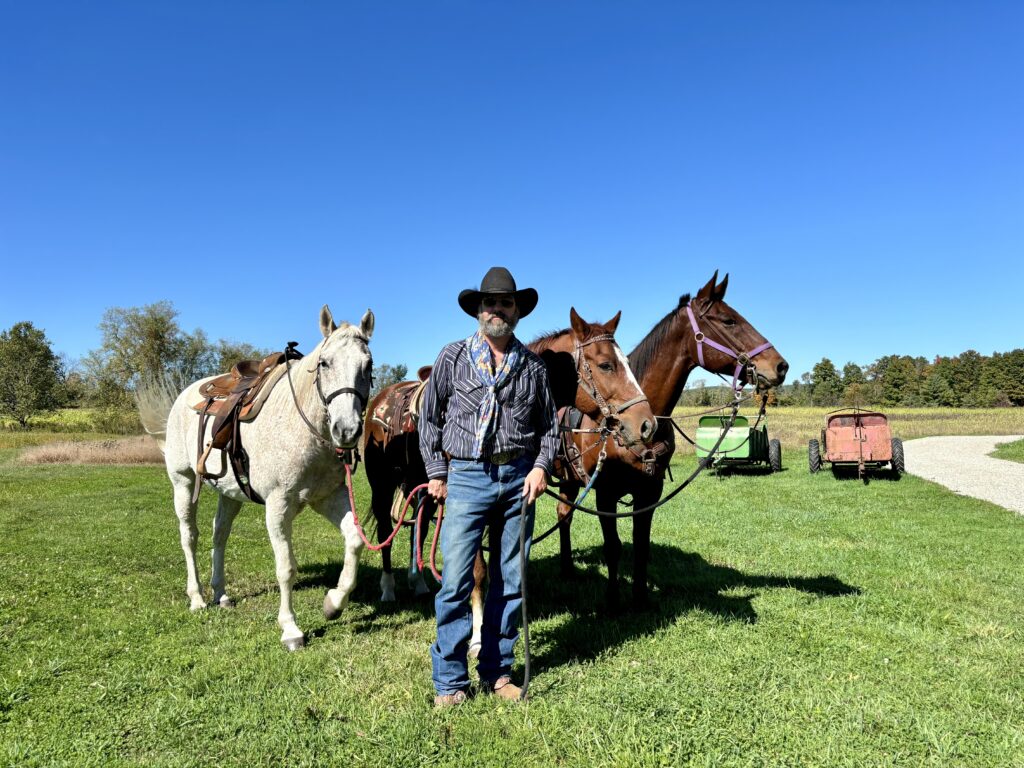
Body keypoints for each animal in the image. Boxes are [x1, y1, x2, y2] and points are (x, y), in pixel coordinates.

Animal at [138, 305, 374, 651]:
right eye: (324, 363)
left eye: (367, 365)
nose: (346, 430)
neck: (302, 426)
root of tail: (184, 397)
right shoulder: (278, 506)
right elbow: (286, 567)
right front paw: (290, 629)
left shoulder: (328, 497)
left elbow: (355, 539)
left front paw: (333, 603)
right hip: (182, 482)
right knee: (189, 537)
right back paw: (197, 597)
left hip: (229, 493)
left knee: (219, 535)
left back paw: (221, 593)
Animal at [552, 274, 790, 610]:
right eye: (729, 321)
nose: (780, 366)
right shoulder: (606, 494)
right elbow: (613, 547)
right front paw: (612, 602)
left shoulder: (650, 492)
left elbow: (641, 545)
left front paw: (640, 599)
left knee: (564, 514)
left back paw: (567, 569)